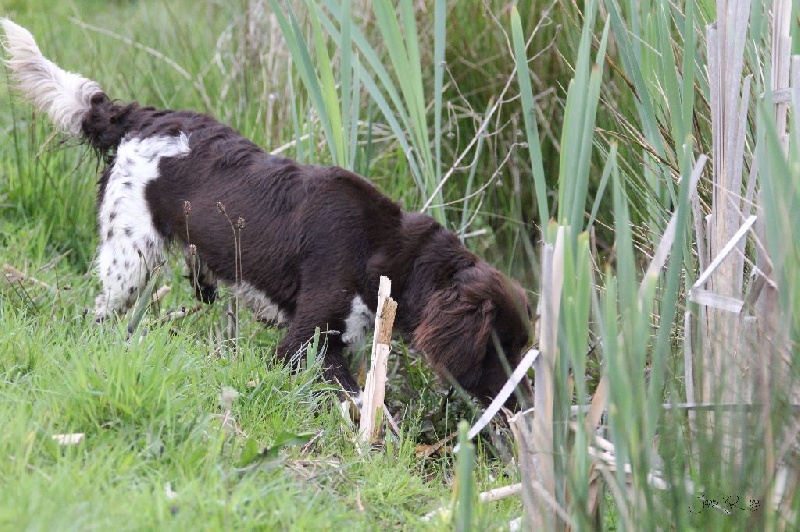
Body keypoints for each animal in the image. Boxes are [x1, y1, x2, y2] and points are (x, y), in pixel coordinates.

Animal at [6, 18, 536, 406]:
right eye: (498, 349)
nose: (522, 407)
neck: (390, 251)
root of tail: (137, 115)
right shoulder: (305, 340)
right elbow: (358, 402)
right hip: (129, 261)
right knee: (98, 314)